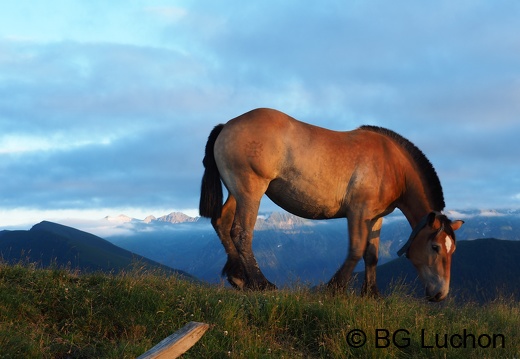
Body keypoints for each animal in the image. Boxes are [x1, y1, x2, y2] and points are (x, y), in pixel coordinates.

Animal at [199, 108, 464, 302]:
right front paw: (335, 288)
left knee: (222, 223)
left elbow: (372, 254)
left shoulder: (376, 217)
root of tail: (227, 125)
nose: (440, 294)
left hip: (238, 192)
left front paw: (371, 294)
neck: (392, 164)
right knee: (241, 233)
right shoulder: (358, 212)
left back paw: (239, 278)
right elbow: (356, 249)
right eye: (435, 247)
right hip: (251, 191)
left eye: (452, 250)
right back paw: (261, 283)